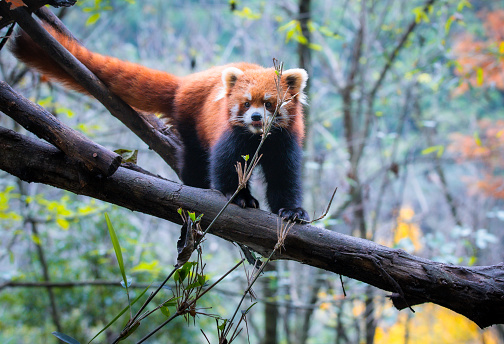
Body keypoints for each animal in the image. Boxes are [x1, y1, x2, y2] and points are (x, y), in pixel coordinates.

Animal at [11, 22, 310, 220]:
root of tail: (186, 84)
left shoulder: (284, 139)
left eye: (269, 104)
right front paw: (240, 197)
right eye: (247, 103)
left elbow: (285, 175)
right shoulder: (231, 132)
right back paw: (196, 184)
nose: (257, 117)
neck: (257, 137)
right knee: (195, 157)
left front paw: (292, 211)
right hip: (191, 121)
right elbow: (226, 163)